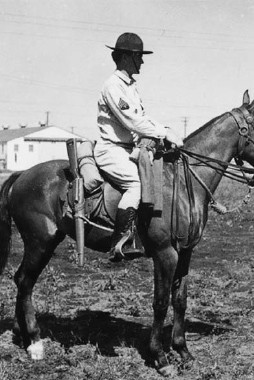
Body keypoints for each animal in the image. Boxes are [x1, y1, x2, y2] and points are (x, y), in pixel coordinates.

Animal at [0, 91, 254, 378]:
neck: (179, 183)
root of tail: (22, 175)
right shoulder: (165, 254)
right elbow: (160, 302)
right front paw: (161, 358)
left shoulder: (185, 252)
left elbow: (180, 300)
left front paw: (184, 352)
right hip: (40, 243)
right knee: (25, 282)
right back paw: (34, 343)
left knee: (22, 280)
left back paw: (23, 336)